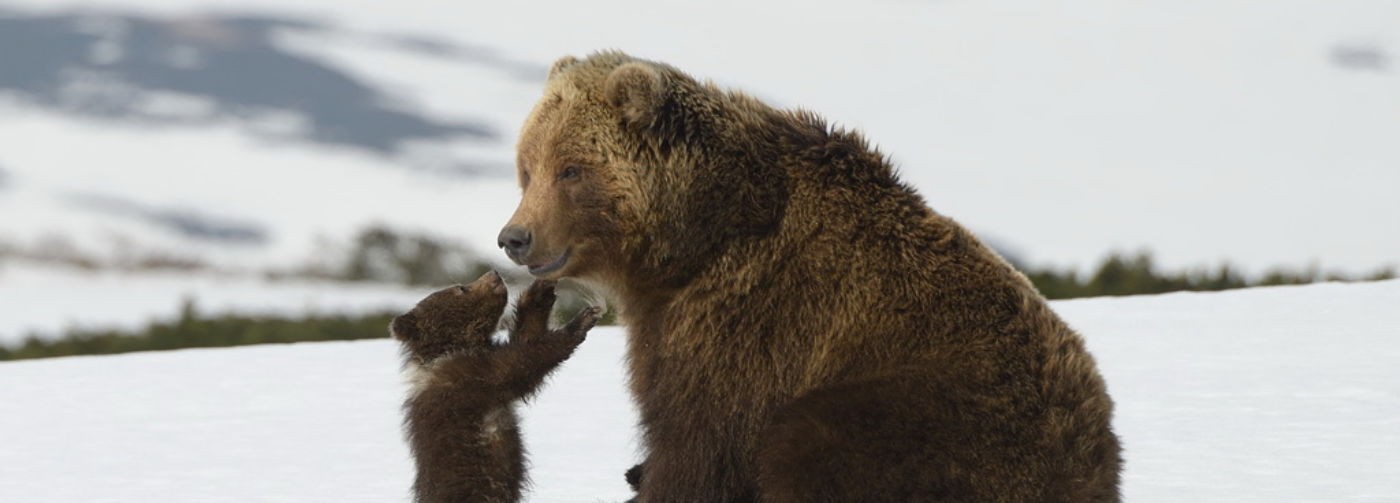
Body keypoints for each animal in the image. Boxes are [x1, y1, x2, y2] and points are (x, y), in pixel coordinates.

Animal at [389, 271, 602, 503]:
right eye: (461, 287)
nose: (494, 274)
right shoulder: (470, 379)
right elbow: (524, 361)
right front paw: (580, 322)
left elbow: (527, 336)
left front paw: (540, 292)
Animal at [498, 52, 1120, 503]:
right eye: (527, 168)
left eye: (570, 170)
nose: (514, 237)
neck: (694, 239)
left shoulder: (751, 321)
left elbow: (702, 446)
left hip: (945, 417)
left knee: (809, 442)